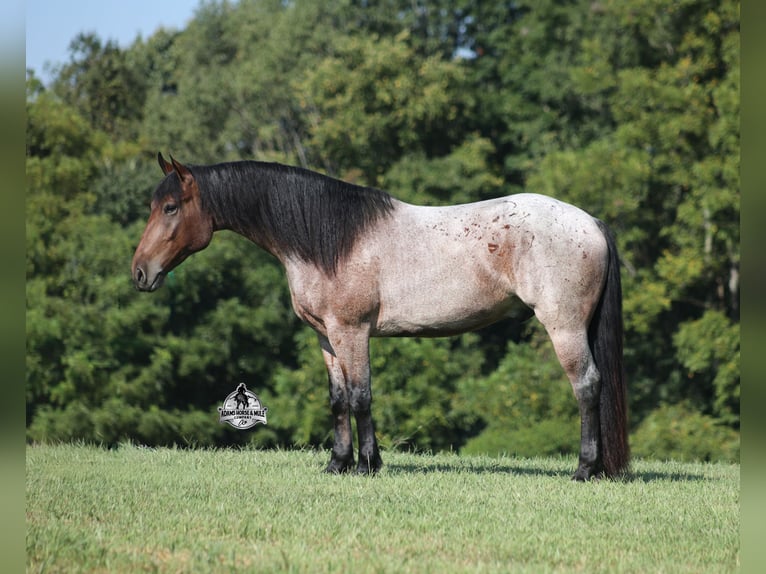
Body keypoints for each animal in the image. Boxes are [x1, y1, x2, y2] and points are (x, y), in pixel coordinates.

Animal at [132, 153, 629, 480]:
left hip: (564, 326)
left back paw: (584, 470)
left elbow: (361, 397)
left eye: (171, 208)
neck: (327, 240)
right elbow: (337, 400)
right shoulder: (327, 338)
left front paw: (368, 465)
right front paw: (337, 464)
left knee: (587, 386)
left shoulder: (351, 332)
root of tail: (590, 223)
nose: (140, 272)